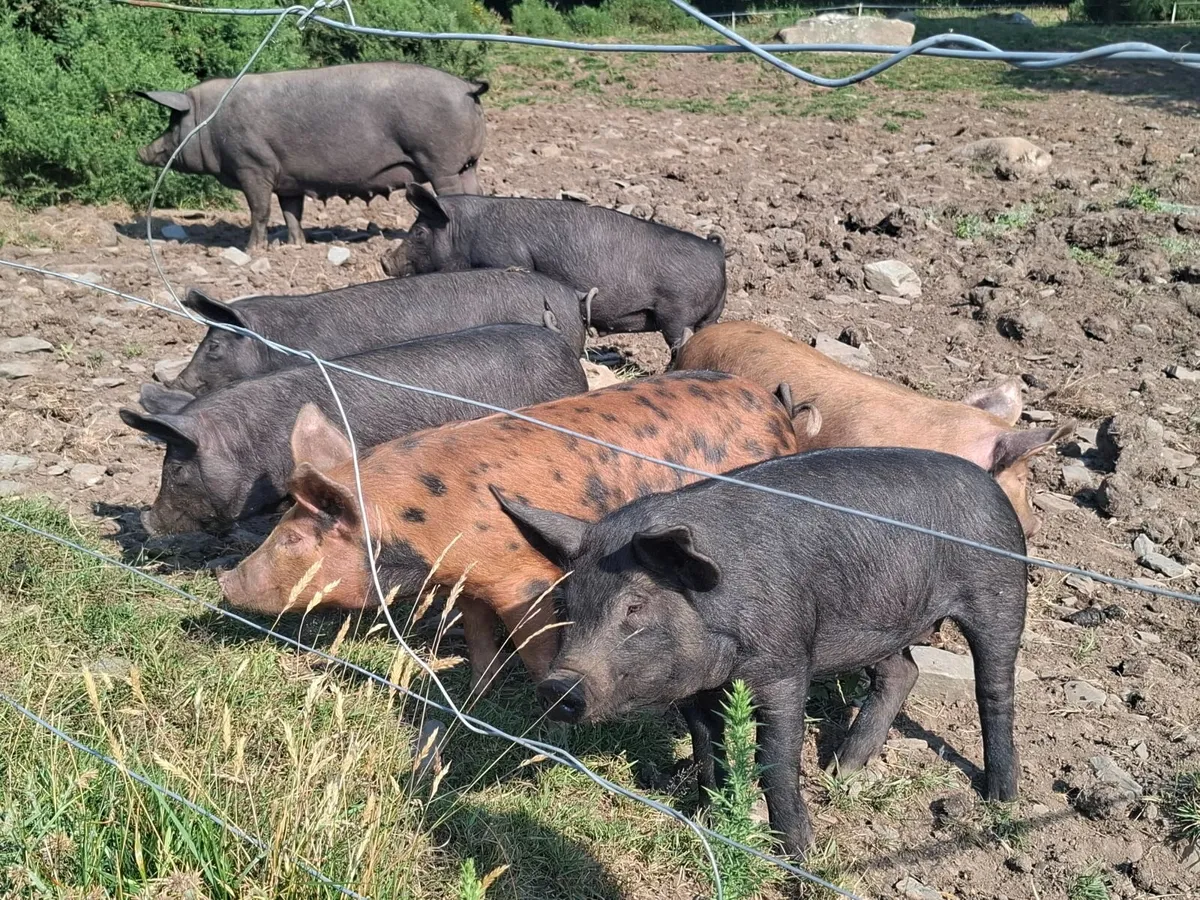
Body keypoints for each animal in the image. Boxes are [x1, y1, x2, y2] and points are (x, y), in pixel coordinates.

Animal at [135, 62, 488, 250]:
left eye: (174, 122)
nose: (141, 151)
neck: (211, 122)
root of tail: (467, 88)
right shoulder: (288, 181)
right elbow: (291, 212)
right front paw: (296, 245)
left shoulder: (253, 165)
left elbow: (260, 210)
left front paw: (252, 250)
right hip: (467, 164)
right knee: (476, 192)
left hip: (440, 161)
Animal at [218, 372, 799, 686]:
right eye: (281, 526)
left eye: (293, 539)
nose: (223, 580)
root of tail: (775, 409)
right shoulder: (470, 581)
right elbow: (478, 638)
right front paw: (477, 692)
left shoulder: (526, 579)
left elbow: (536, 650)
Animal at [382, 184, 727, 352]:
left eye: (419, 232)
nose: (384, 261)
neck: (465, 234)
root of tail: (717, 252)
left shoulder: (506, 257)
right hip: (709, 317)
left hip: (677, 311)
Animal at [496, 447, 1028, 857]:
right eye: (564, 603)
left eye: (634, 605)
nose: (558, 685)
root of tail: (992, 485)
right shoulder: (696, 687)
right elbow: (707, 747)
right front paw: (710, 819)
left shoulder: (786, 664)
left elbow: (774, 756)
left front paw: (800, 853)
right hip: (875, 623)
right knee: (901, 671)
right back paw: (839, 770)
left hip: (1000, 590)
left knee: (995, 687)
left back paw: (1001, 796)